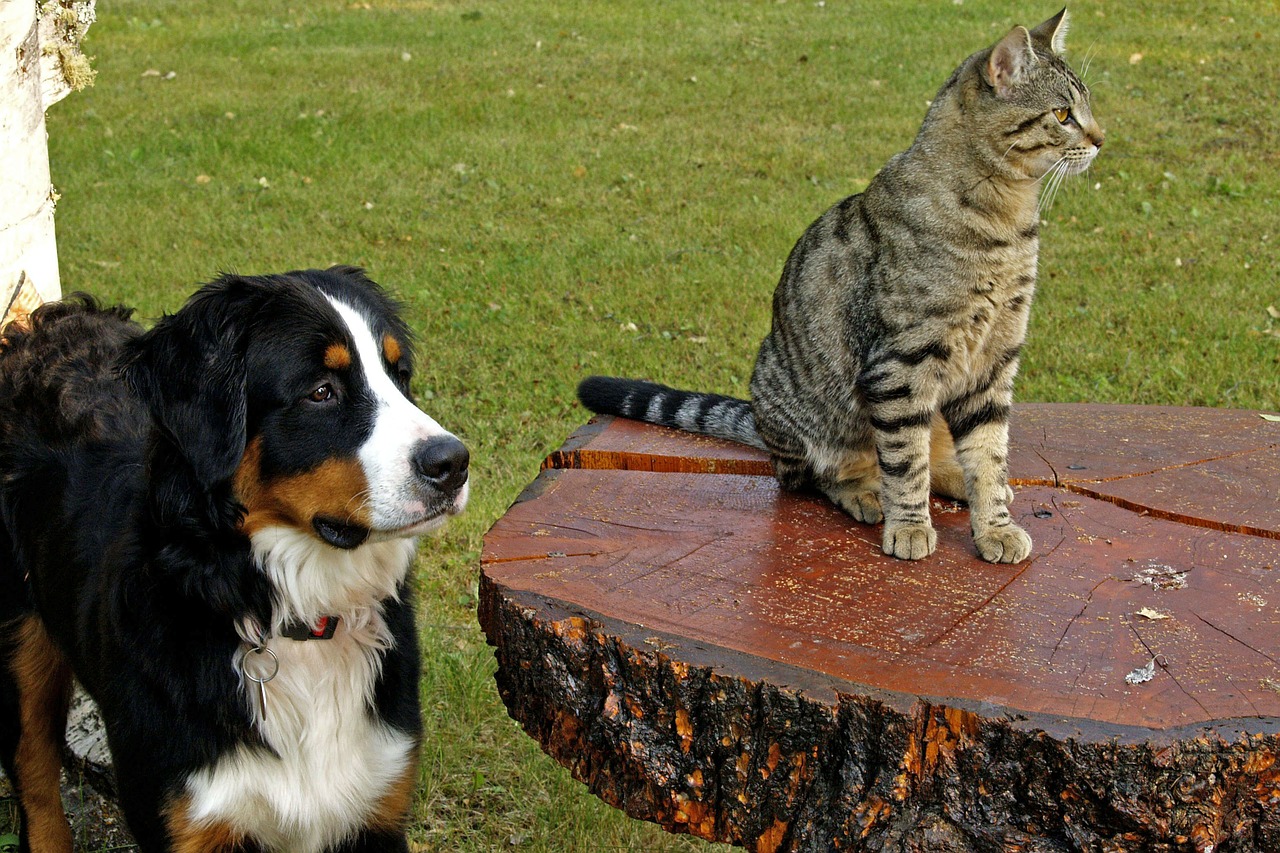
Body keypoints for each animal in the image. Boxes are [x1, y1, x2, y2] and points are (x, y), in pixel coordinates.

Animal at [0, 267, 471, 850]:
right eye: (321, 391)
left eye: (399, 375)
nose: (453, 463)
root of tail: (42, 323)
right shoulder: (186, 821)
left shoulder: (377, 804)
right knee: (37, 787)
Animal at [576, 9, 1105, 563]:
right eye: (1063, 114)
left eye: (1087, 108)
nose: (1102, 138)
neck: (1006, 220)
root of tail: (760, 422)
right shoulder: (901, 366)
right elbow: (905, 462)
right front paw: (909, 525)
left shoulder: (993, 362)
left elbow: (988, 456)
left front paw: (995, 525)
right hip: (804, 414)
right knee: (818, 476)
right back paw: (866, 494)